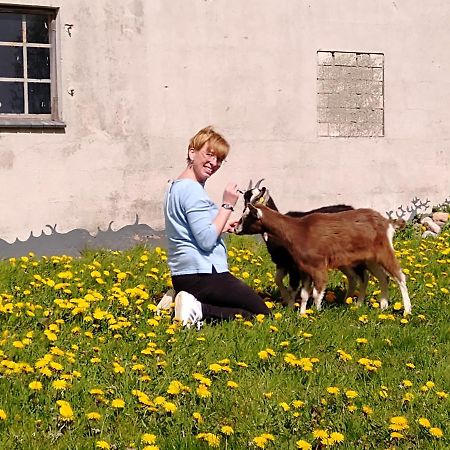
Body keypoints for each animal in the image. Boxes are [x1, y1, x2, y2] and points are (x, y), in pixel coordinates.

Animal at [243, 195, 412, 314]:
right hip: (370, 258)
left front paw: (316, 312)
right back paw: (380, 306)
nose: (237, 228)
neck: (299, 229)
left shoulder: (317, 266)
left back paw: (407, 311)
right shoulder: (304, 268)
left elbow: (317, 291)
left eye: (247, 216)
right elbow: (304, 293)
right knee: (382, 278)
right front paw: (301, 314)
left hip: (384, 251)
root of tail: (386, 222)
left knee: (399, 276)